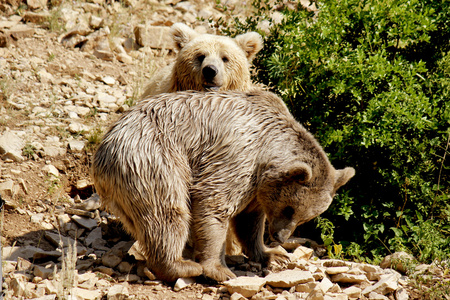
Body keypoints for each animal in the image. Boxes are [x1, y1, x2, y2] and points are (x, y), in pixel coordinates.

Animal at [92, 90, 356, 282]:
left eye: (305, 218)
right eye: (290, 208)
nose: (280, 237)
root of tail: (102, 153)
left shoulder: (254, 187)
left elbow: (249, 221)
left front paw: (270, 254)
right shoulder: (235, 155)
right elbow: (213, 204)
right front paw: (219, 268)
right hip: (153, 159)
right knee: (168, 213)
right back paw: (181, 265)